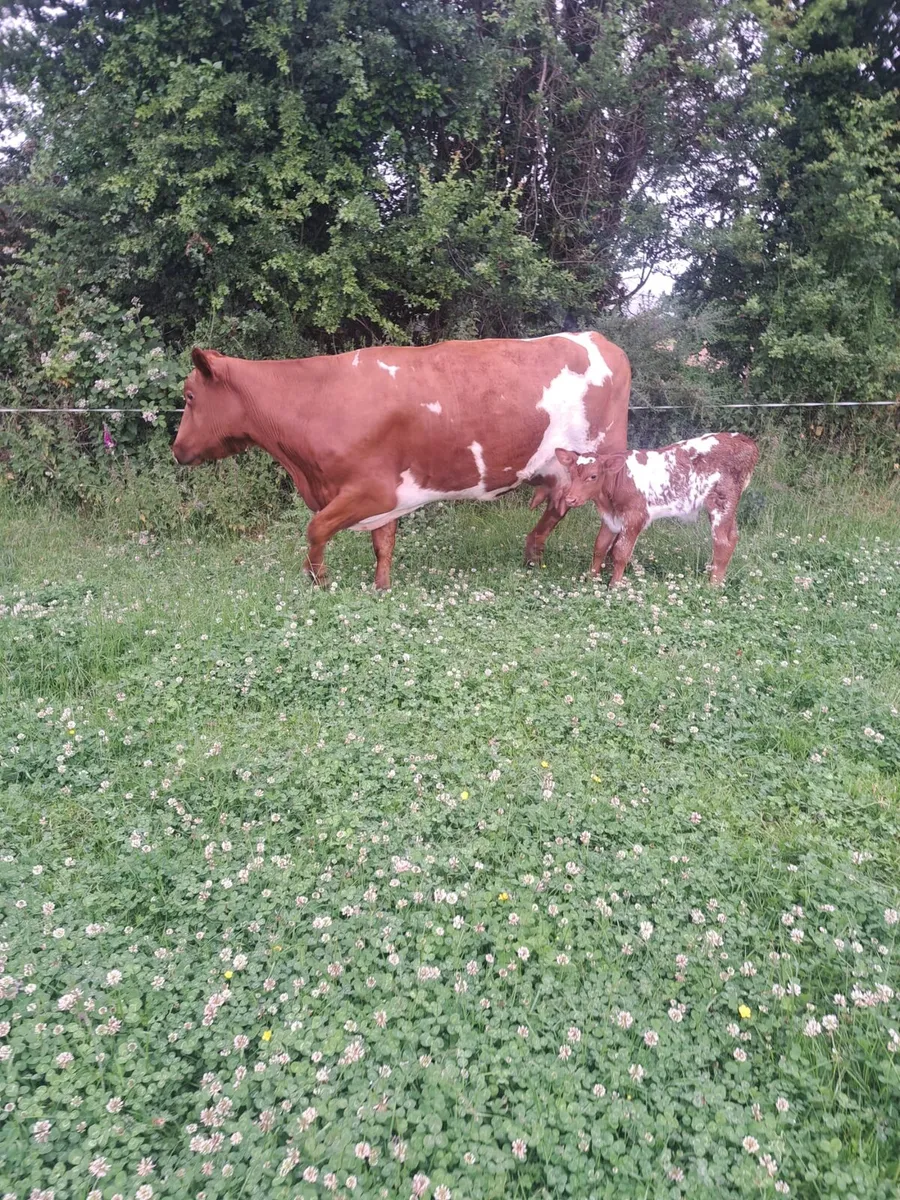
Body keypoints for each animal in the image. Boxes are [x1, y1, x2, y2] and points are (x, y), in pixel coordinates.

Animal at [172, 333, 631, 588]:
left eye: (190, 396)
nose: (177, 449)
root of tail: (598, 338)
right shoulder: (383, 498)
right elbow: (383, 544)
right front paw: (381, 587)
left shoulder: (372, 490)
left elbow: (315, 528)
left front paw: (317, 578)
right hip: (563, 470)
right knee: (557, 507)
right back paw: (533, 553)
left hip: (604, 460)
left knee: (612, 520)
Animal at [555, 432, 759, 587]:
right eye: (571, 474)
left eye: (593, 476)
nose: (570, 498)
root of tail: (743, 440)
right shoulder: (611, 518)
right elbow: (600, 546)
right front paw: (591, 580)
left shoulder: (635, 516)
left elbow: (620, 552)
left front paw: (614, 586)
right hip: (728, 508)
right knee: (733, 538)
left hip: (721, 503)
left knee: (722, 543)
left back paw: (713, 585)